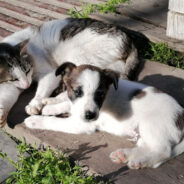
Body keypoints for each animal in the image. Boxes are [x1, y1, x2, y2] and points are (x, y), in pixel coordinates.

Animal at [24, 63, 184, 170]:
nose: (90, 115)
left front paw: (35, 120)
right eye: (77, 92)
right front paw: (50, 105)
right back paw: (124, 155)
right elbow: (67, 103)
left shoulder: (81, 124)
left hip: (151, 125)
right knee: (148, 147)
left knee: (163, 151)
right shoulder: (77, 106)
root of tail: (182, 115)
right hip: (144, 133)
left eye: (100, 94)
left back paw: (140, 161)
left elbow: (54, 121)